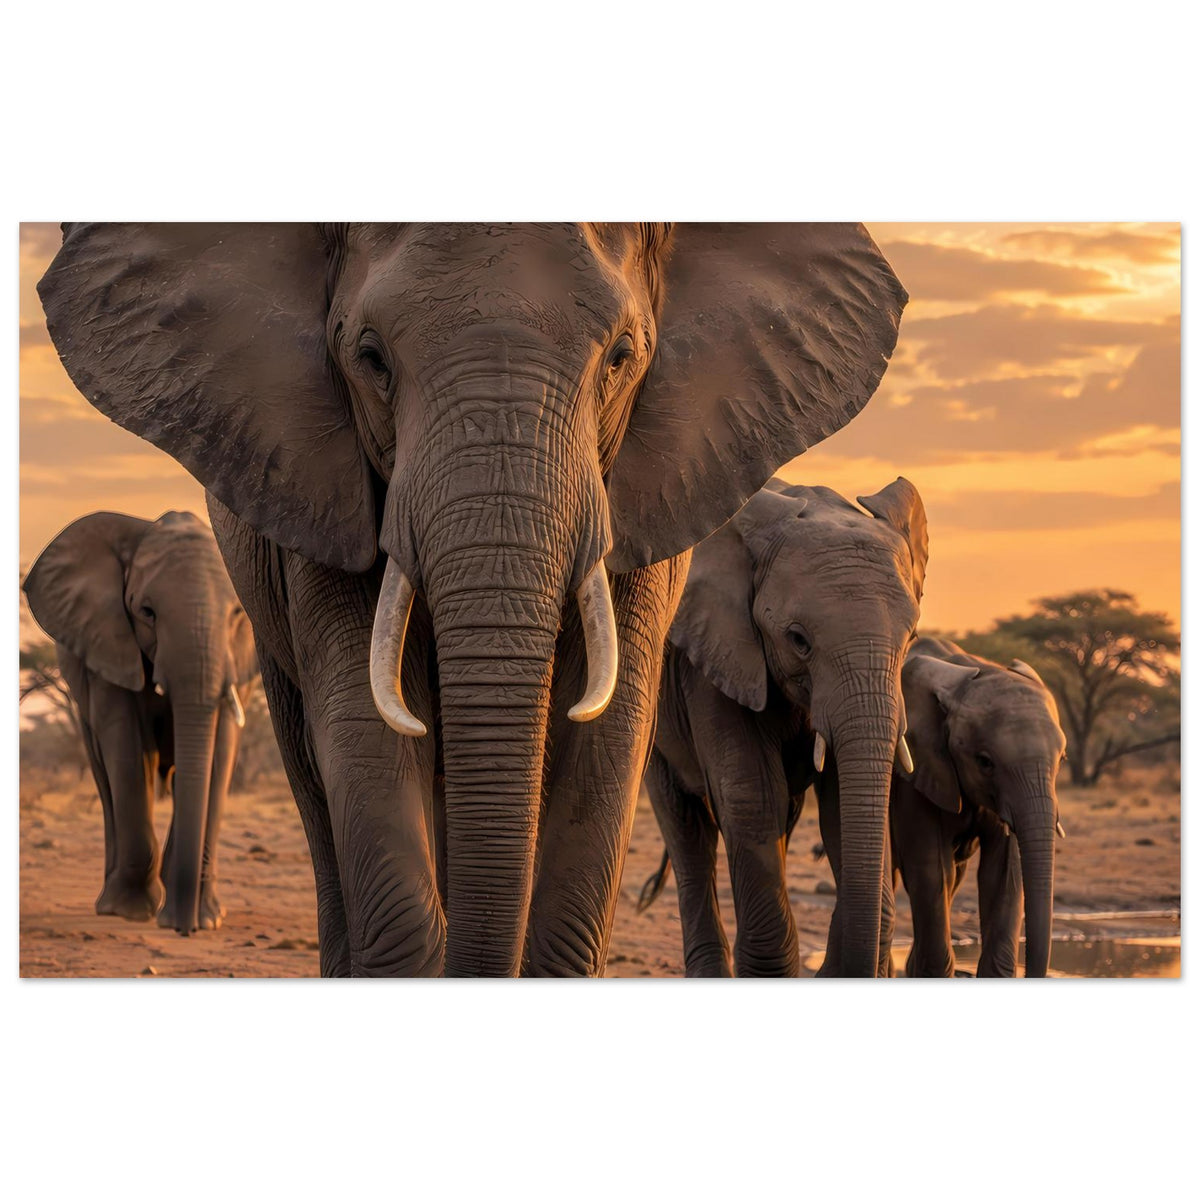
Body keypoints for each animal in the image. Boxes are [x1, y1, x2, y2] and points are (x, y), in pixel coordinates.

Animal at [22, 510, 257, 933]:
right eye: (147, 612)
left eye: (236, 613)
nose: (184, 928)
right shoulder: (106, 642)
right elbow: (127, 743)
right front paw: (132, 911)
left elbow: (221, 747)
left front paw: (208, 919)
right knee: (105, 774)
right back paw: (109, 902)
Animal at [638, 476, 928, 976]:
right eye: (798, 640)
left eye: (910, 638)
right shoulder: (716, 658)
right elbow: (751, 797)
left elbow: (839, 805)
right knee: (686, 826)